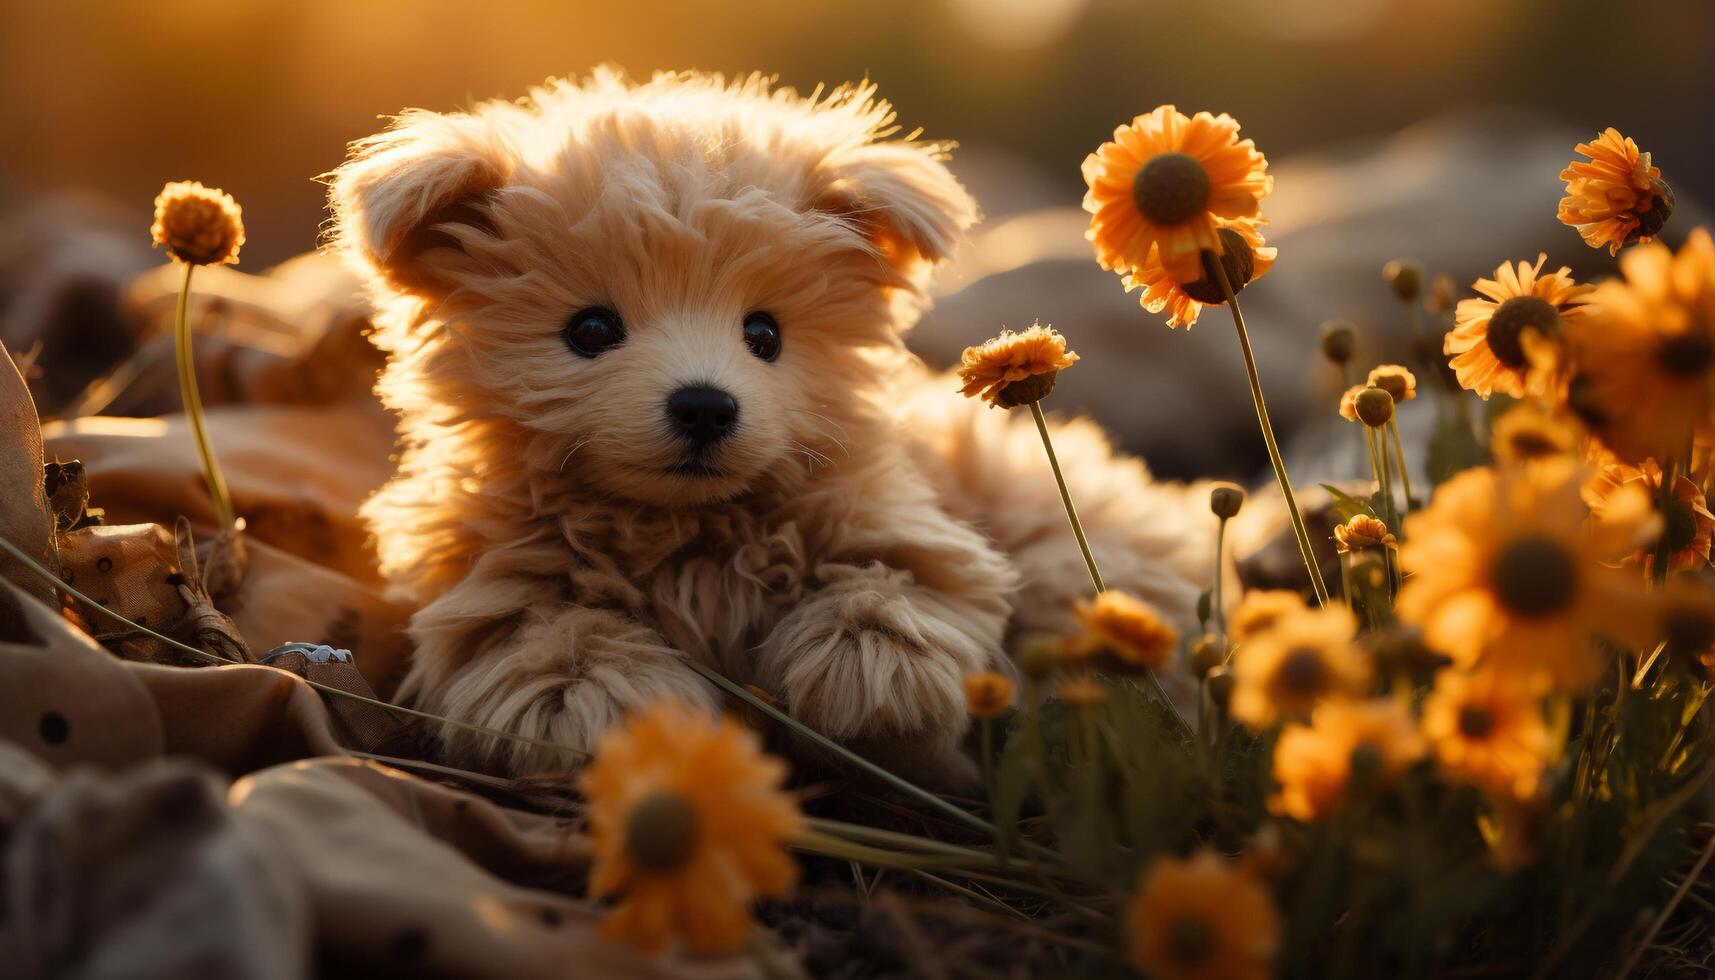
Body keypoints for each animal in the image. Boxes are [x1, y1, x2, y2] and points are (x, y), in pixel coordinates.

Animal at [327, 69, 1214, 782]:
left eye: (765, 334)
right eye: (590, 329)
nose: (704, 405)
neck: (686, 534)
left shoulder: (903, 516)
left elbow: (902, 585)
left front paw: (862, 661)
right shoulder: (492, 577)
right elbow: (547, 638)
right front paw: (594, 698)